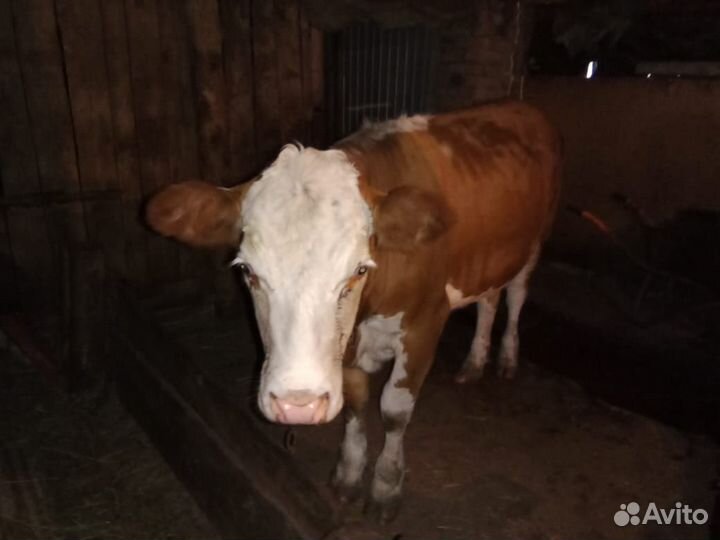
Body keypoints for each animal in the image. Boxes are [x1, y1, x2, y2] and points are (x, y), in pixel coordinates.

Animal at [145, 100, 562, 522]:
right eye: (247, 270)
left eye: (359, 270)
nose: (298, 404)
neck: (368, 313)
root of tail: (517, 105)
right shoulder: (344, 346)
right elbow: (356, 403)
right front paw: (348, 473)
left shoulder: (425, 322)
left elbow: (394, 409)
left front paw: (386, 486)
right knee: (489, 302)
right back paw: (475, 362)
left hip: (535, 243)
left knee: (515, 298)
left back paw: (507, 358)